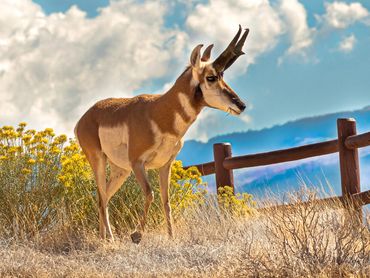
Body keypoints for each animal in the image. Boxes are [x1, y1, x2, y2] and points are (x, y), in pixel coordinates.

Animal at [74, 26, 249, 243]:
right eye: (211, 77)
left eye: (223, 75)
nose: (241, 105)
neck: (158, 113)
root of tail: (84, 118)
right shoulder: (138, 163)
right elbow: (150, 194)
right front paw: (136, 235)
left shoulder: (165, 165)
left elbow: (166, 200)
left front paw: (171, 237)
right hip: (98, 160)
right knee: (101, 198)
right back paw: (111, 240)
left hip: (120, 170)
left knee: (104, 196)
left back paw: (104, 239)